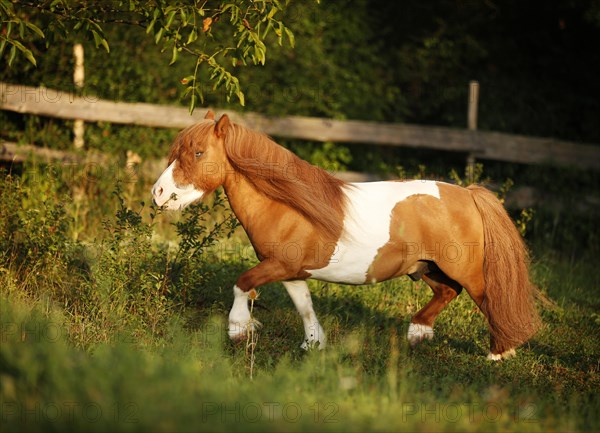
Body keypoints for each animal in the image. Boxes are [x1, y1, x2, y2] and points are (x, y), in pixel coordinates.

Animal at [152, 110, 540, 358]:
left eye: (198, 152)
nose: (158, 194)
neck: (287, 205)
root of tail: (469, 195)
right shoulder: (291, 271)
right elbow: (304, 306)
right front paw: (313, 345)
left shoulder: (278, 267)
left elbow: (241, 284)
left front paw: (237, 330)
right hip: (427, 267)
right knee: (447, 292)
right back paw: (418, 334)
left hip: (465, 269)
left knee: (490, 300)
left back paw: (500, 354)